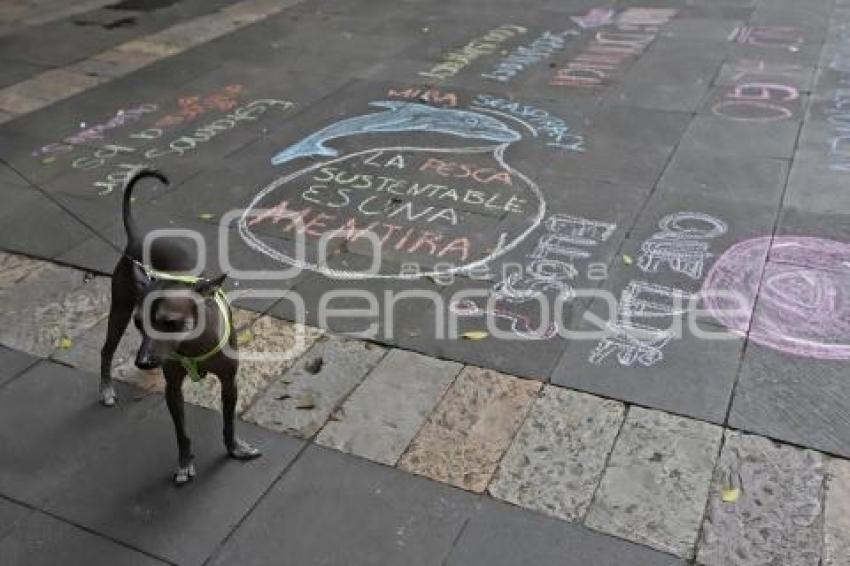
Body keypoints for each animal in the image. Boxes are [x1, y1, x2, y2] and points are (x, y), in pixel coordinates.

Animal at [100, 168, 258, 484]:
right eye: (140, 323)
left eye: (169, 322)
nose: (143, 362)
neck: (194, 343)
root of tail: (137, 239)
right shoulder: (173, 388)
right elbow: (182, 433)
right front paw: (185, 462)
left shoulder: (229, 382)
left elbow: (228, 422)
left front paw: (234, 448)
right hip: (119, 309)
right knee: (106, 350)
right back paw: (107, 389)